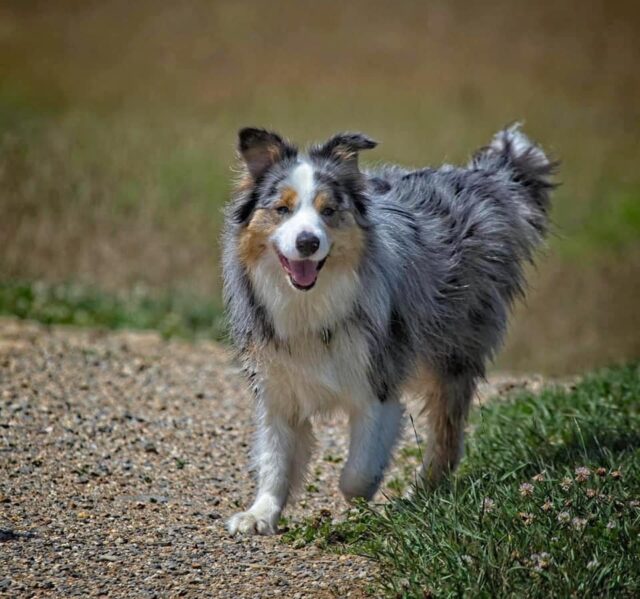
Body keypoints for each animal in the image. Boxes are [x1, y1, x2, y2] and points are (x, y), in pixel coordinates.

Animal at [222, 123, 552, 536]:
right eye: (282, 209)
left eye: (329, 210)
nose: (308, 242)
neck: (309, 303)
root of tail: (478, 179)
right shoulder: (277, 383)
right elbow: (275, 457)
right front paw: (259, 514)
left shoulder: (378, 378)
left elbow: (357, 472)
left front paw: (362, 504)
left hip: (451, 347)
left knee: (446, 430)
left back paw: (421, 492)